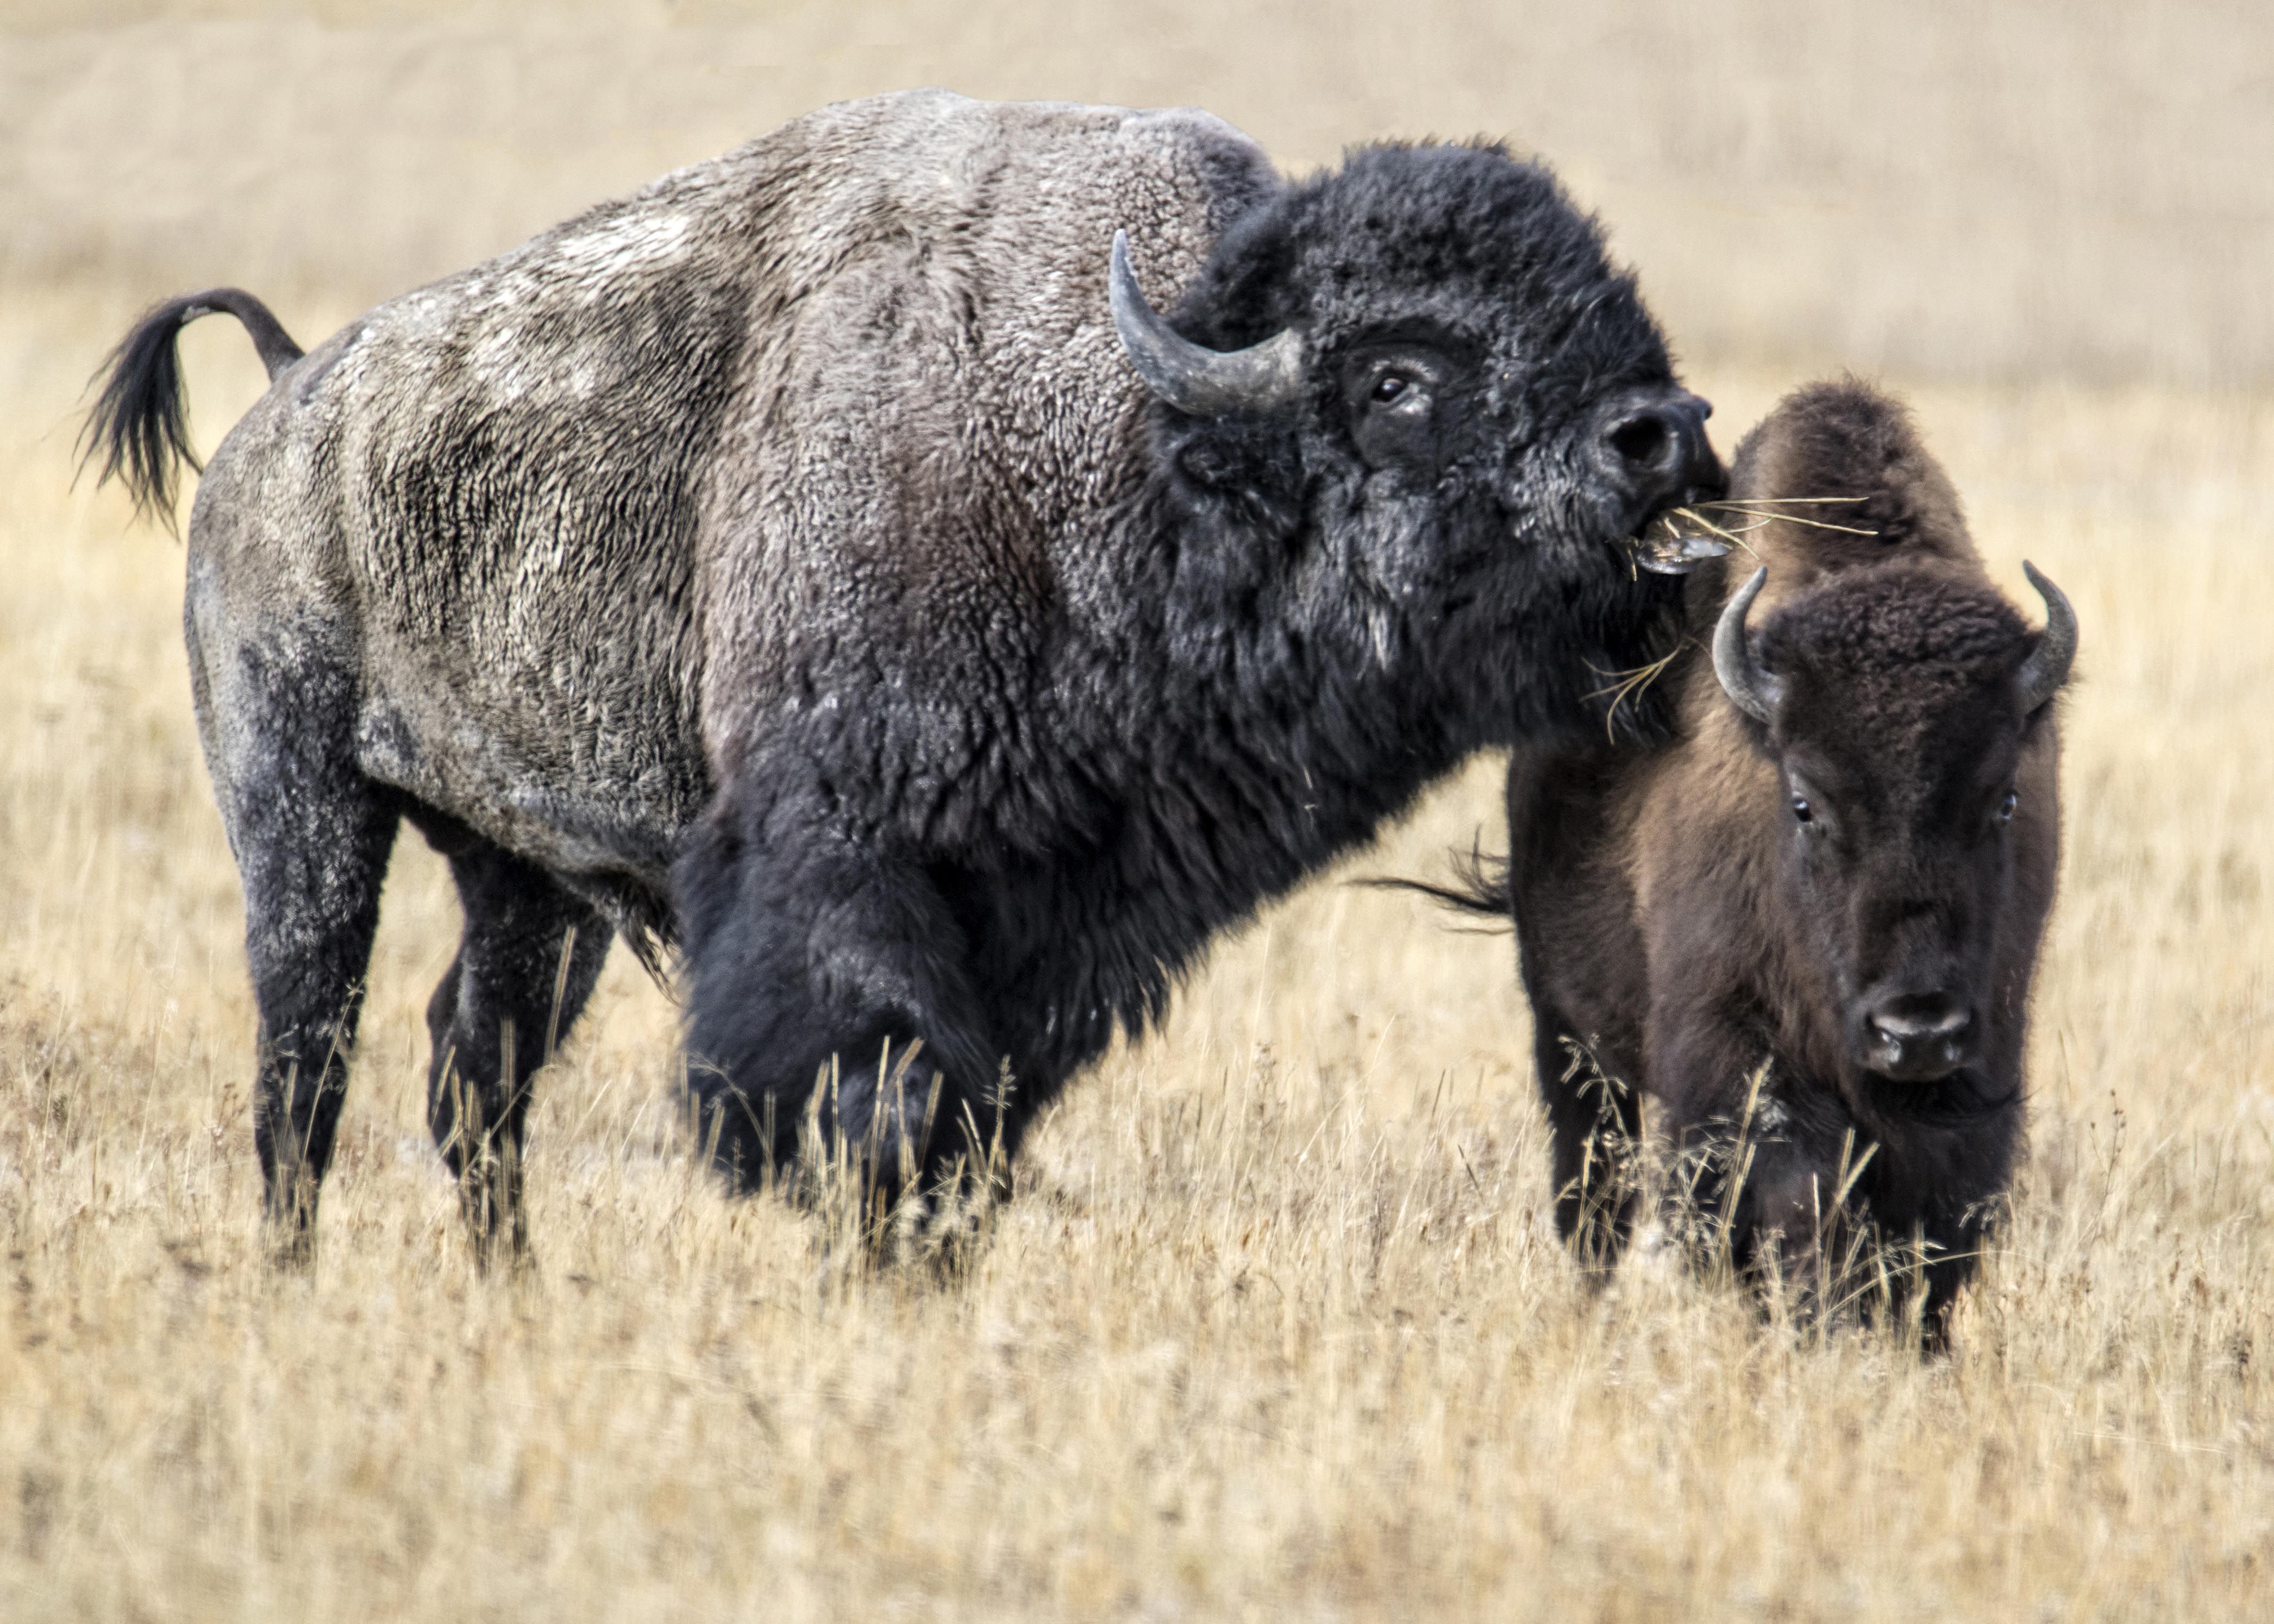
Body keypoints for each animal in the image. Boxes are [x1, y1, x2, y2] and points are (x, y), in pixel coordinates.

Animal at [89, 89, 1719, 1255]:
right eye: (1398, 381)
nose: (1665, 436)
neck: (1114, 444)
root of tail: (285, 409)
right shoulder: (843, 874)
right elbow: (871, 1097)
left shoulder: (1049, 939)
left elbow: (966, 1124)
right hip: (303, 807)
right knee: (306, 1060)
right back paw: (293, 1274)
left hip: (526, 881)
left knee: (472, 1071)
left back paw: (511, 1287)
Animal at [1446, 382, 2073, 1337]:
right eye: (1805, 801)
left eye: (2002, 799)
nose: (1914, 1029)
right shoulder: (1736, 1062)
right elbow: (1794, 1197)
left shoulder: (1983, 1066)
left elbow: (1935, 1236)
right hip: (1569, 1036)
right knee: (1598, 1190)